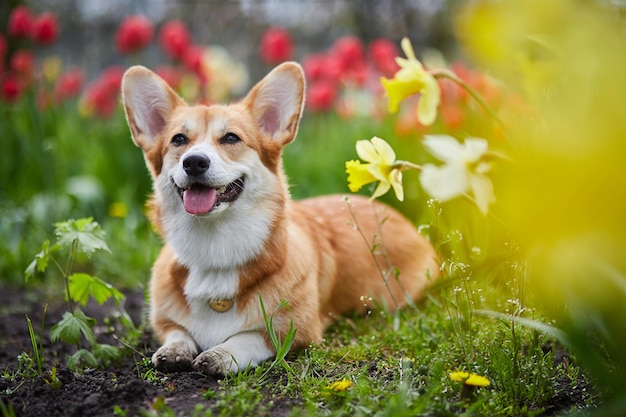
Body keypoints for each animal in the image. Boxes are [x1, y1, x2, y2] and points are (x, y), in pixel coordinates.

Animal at [119, 63, 436, 376]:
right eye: (179, 140)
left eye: (231, 138)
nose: (194, 162)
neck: (214, 247)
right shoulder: (164, 322)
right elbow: (178, 332)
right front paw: (173, 351)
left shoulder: (295, 329)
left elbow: (248, 337)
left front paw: (220, 354)